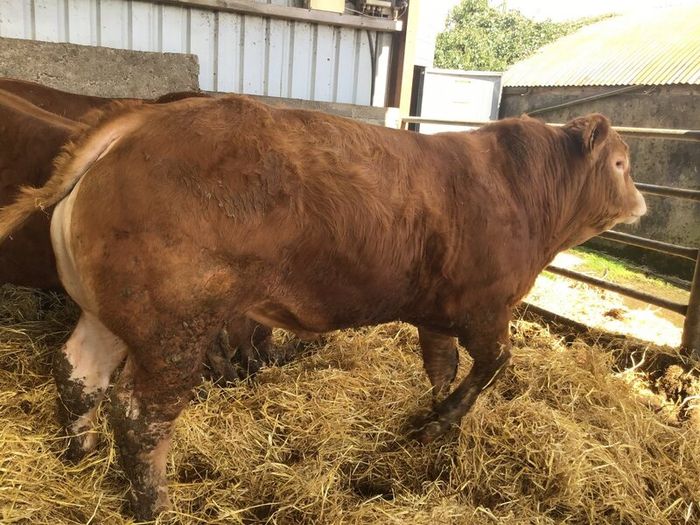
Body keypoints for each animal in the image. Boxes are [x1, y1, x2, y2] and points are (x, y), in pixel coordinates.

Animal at [0, 94, 646, 519]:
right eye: (621, 164)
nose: (641, 202)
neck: (520, 191)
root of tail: (143, 121)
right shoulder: (488, 311)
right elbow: (493, 365)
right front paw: (444, 421)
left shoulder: (437, 316)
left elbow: (441, 370)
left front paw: (428, 424)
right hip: (174, 331)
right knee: (140, 414)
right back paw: (152, 503)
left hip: (108, 315)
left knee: (79, 373)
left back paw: (79, 454)